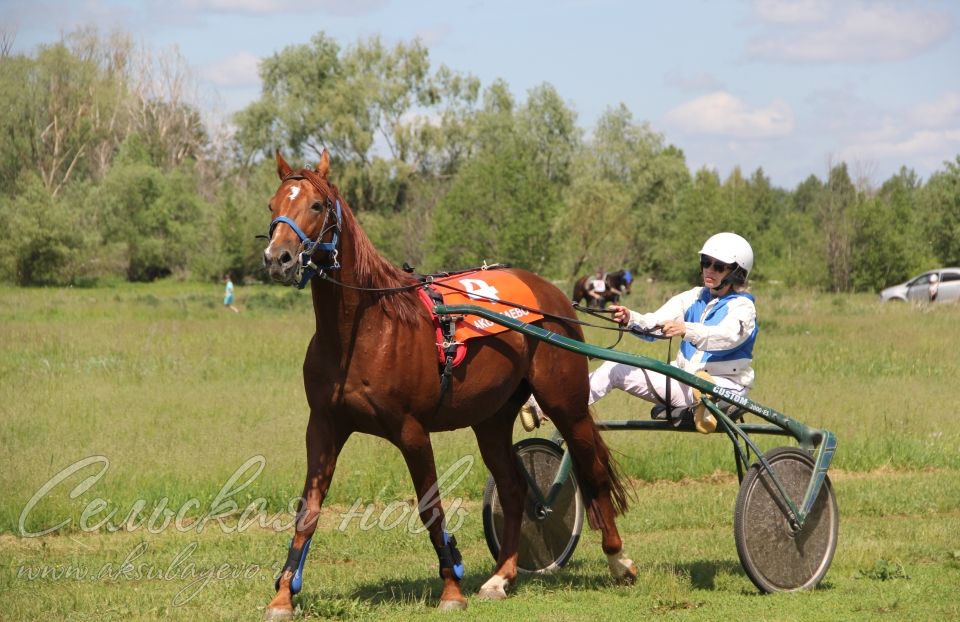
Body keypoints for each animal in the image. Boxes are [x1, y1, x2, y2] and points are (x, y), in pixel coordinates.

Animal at [258, 150, 632, 620]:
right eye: (272, 205)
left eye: (316, 205)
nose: (278, 258)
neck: (363, 331)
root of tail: (552, 292)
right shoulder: (324, 427)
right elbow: (308, 511)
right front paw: (283, 595)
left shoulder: (412, 431)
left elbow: (430, 508)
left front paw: (451, 589)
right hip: (491, 418)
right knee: (513, 488)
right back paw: (501, 576)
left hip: (566, 402)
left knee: (593, 468)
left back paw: (618, 561)